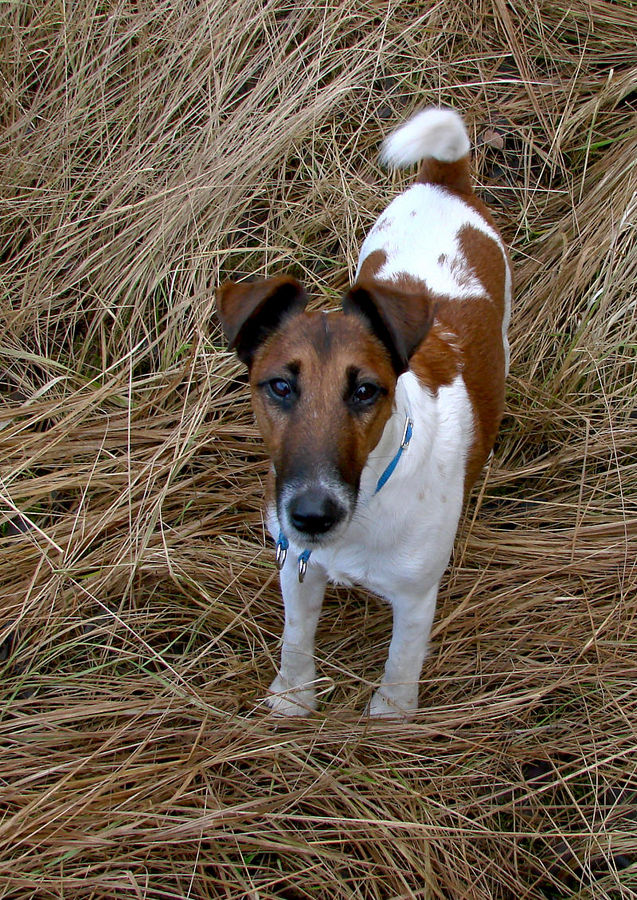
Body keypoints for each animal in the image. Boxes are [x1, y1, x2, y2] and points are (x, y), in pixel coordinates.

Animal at [216, 109, 510, 716]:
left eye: (366, 392)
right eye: (279, 386)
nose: (312, 516)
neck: (370, 496)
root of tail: (443, 182)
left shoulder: (416, 597)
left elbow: (400, 665)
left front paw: (391, 719)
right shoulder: (297, 570)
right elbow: (296, 639)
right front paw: (294, 697)